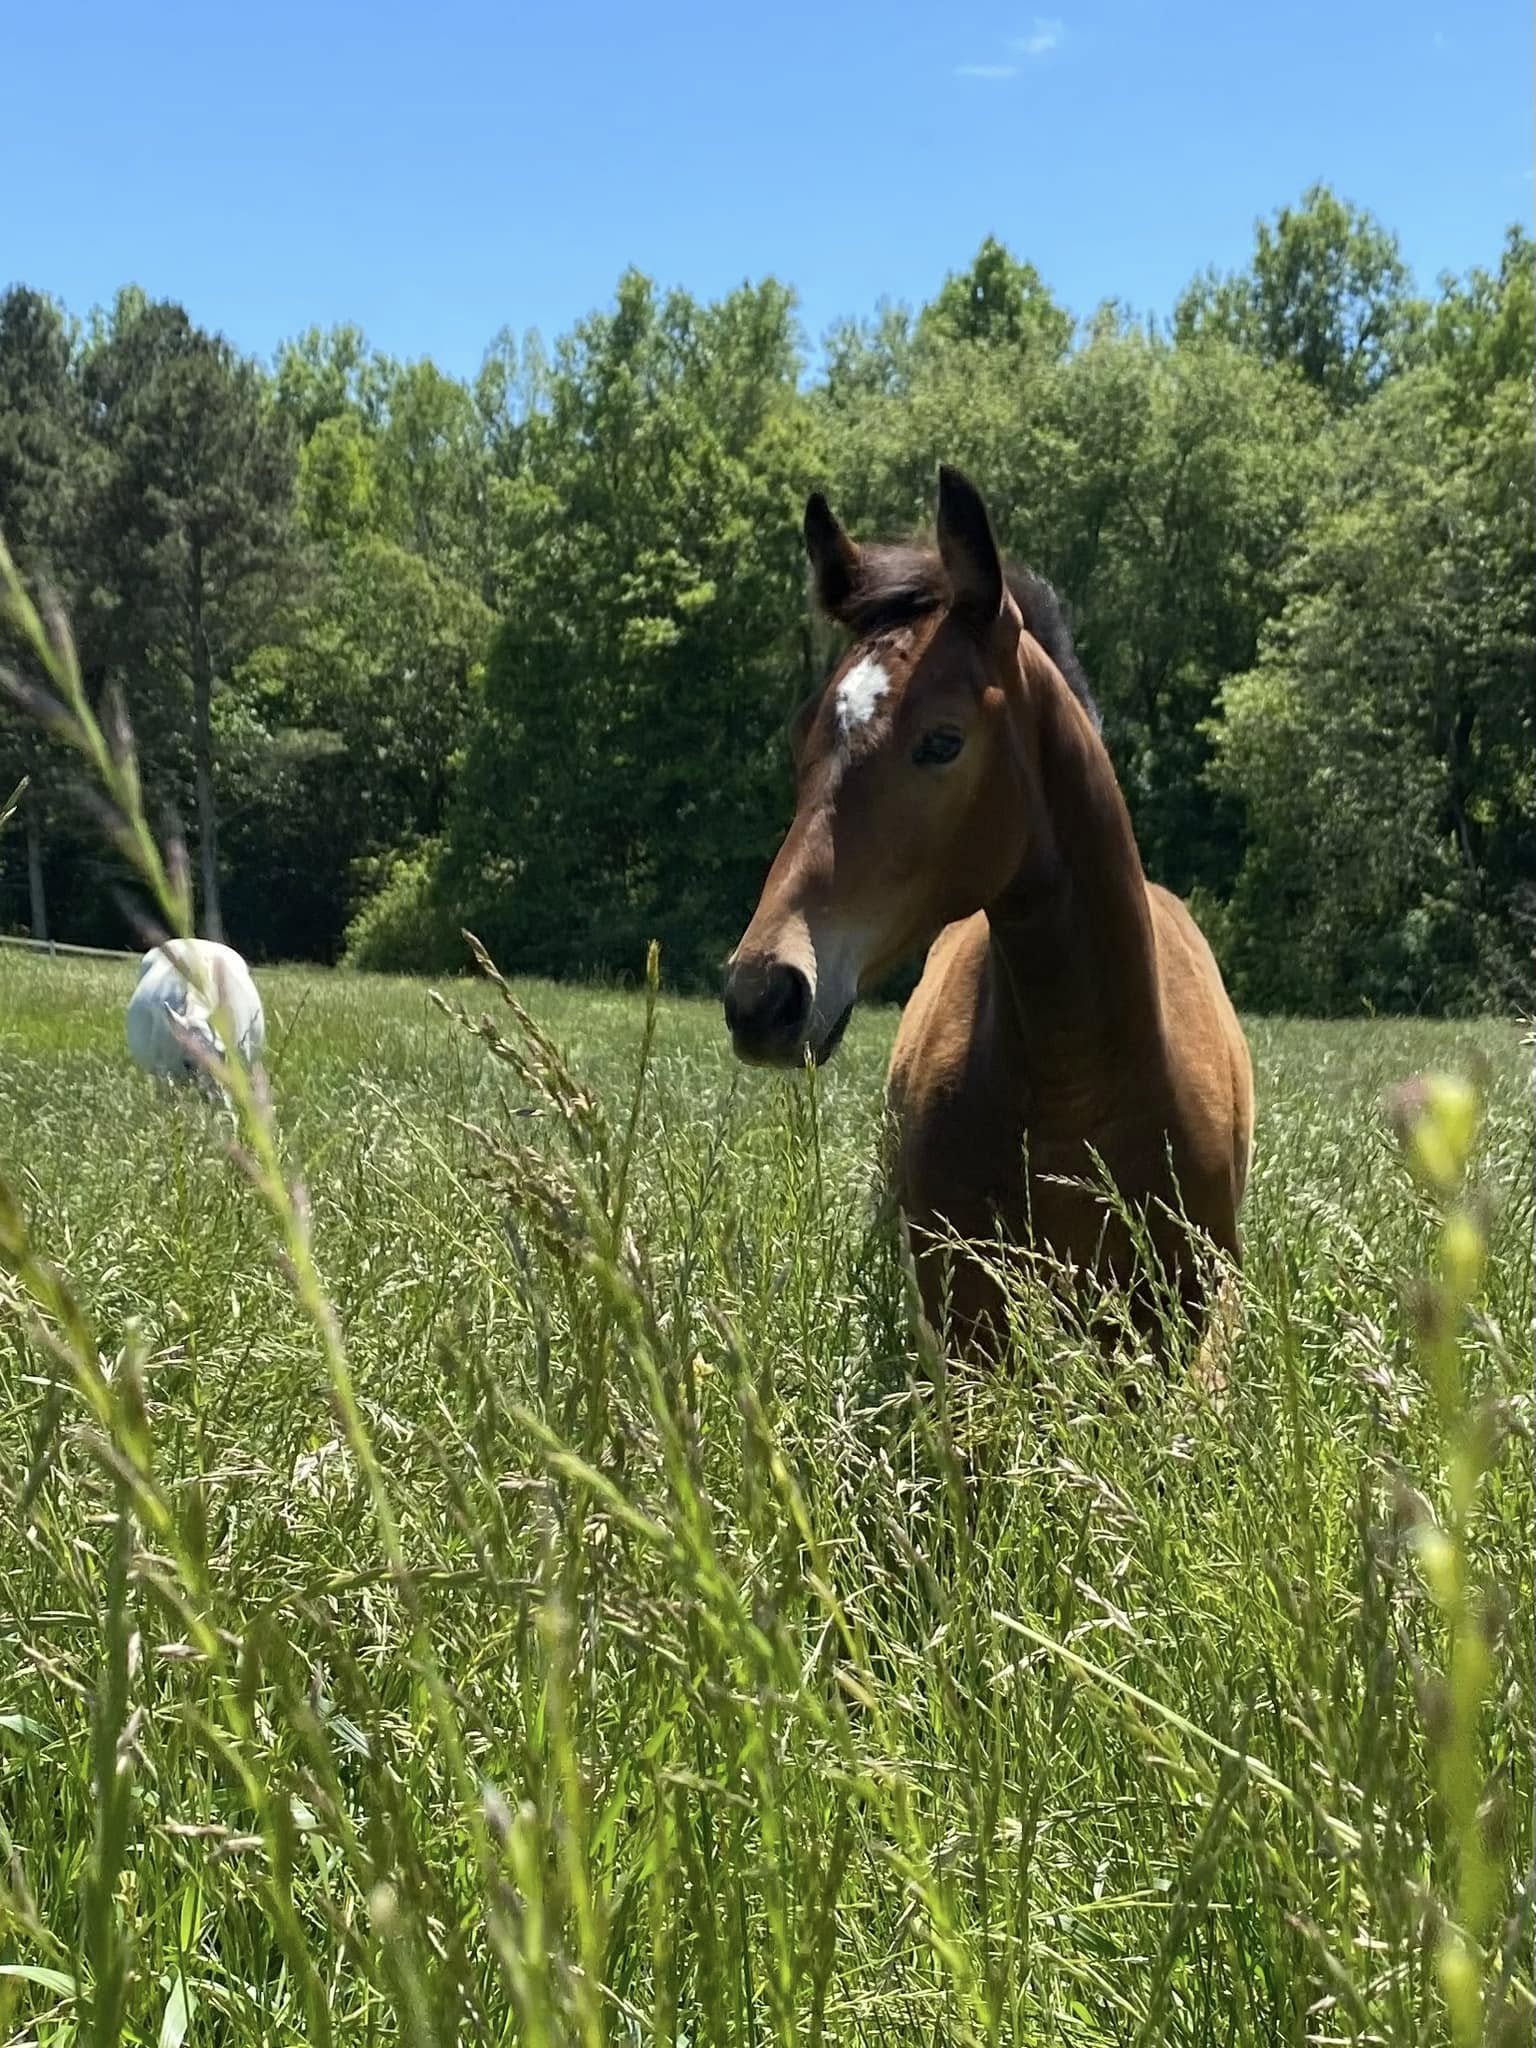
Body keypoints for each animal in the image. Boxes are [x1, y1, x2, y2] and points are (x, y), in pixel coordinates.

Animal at [723, 466, 1254, 1359]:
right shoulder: (963, 1331)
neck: (1082, 1096)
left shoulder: (1198, 1316)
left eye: (943, 740)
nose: (761, 996)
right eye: (802, 736)